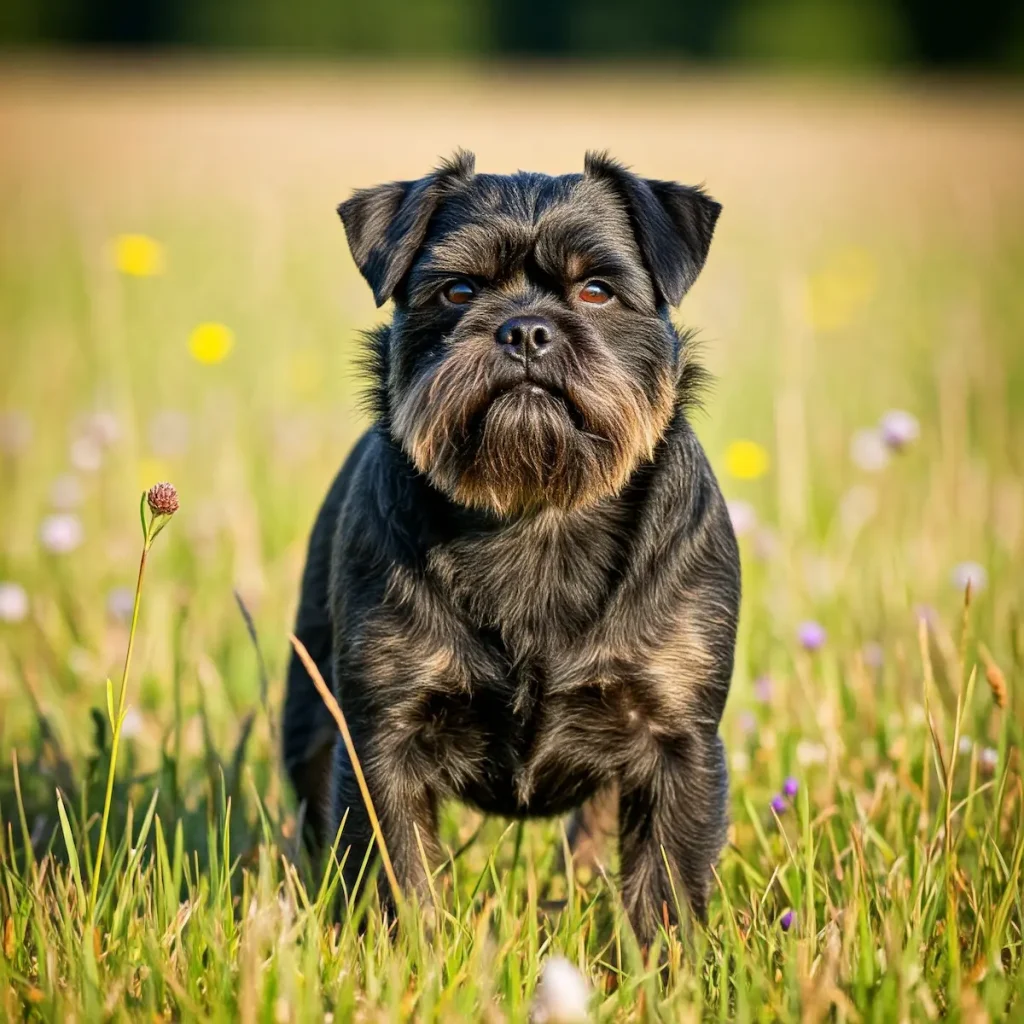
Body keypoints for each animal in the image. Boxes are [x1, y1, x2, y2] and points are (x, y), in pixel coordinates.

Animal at [284, 151, 741, 942]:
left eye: (596, 290)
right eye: (458, 290)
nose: (526, 329)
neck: (536, 520)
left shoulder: (677, 743)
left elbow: (665, 891)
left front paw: (663, 964)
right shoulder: (381, 743)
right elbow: (399, 877)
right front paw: (407, 957)